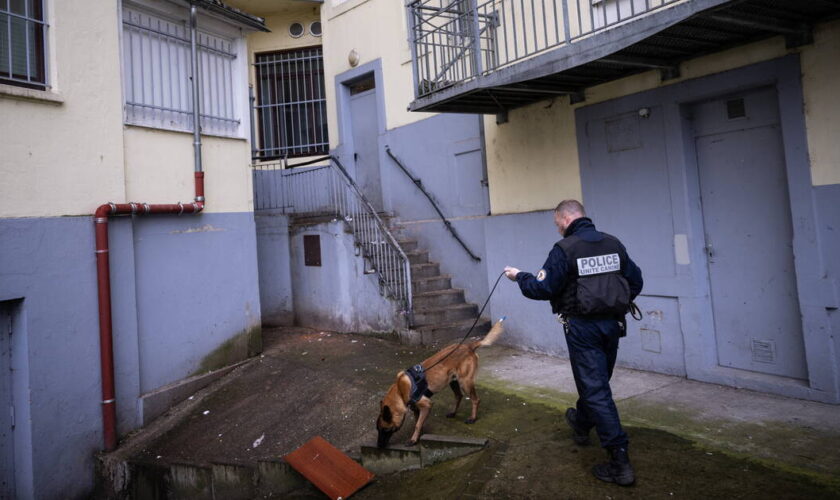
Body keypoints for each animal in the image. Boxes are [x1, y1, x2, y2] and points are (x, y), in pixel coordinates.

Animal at [376, 320, 506, 450]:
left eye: (384, 429)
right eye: (378, 429)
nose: (379, 446)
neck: (400, 390)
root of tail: (468, 346)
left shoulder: (427, 405)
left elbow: (417, 424)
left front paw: (413, 440)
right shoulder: (416, 407)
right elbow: (418, 422)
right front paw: (417, 435)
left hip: (465, 382)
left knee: (475, 399)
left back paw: (472, 418)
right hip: (453, 382)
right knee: (458, 396)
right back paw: (453, 412)